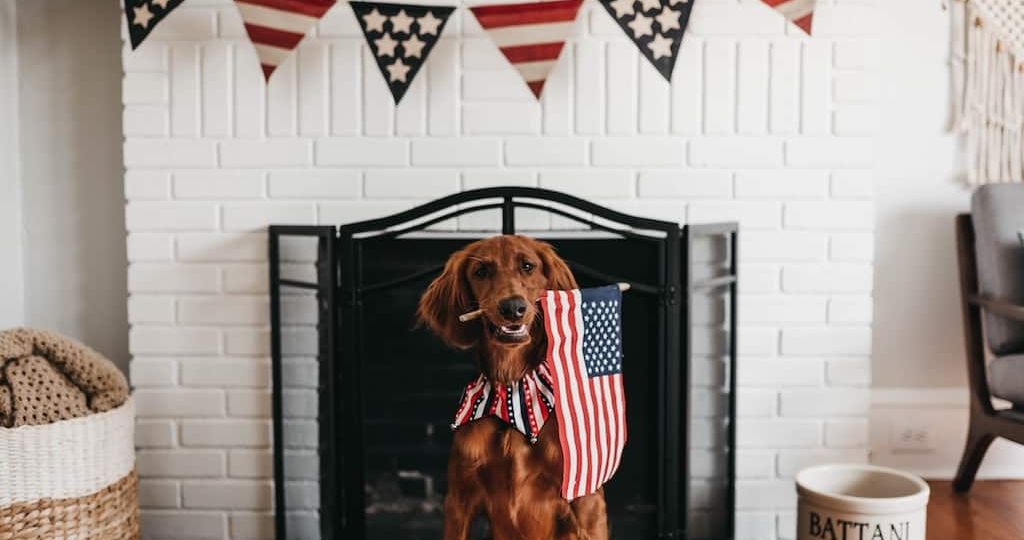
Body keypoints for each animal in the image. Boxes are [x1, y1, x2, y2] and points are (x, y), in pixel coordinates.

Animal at [415, 235, 606, 540]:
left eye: (528, 266)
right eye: (481, 271)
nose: (513, 307)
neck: (512, 390)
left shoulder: (585, 500)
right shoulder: (459, 501)